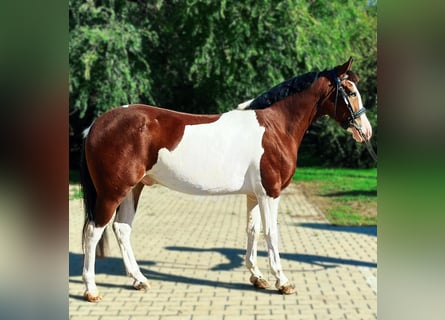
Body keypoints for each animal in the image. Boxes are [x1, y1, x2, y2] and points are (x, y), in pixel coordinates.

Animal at [79, 58, 372, 302]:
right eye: (350, 91)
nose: (366, 131)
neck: (275, 127)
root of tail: (95, 125)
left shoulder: (254, 194)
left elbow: (253, 231)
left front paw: (257, 277)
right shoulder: (270, 193)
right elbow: (271, 233)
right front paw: (282, 281)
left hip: (133, 188)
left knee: (122, 229)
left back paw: (139, 280)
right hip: (112, 192)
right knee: (94, 232)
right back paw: (91, 290)